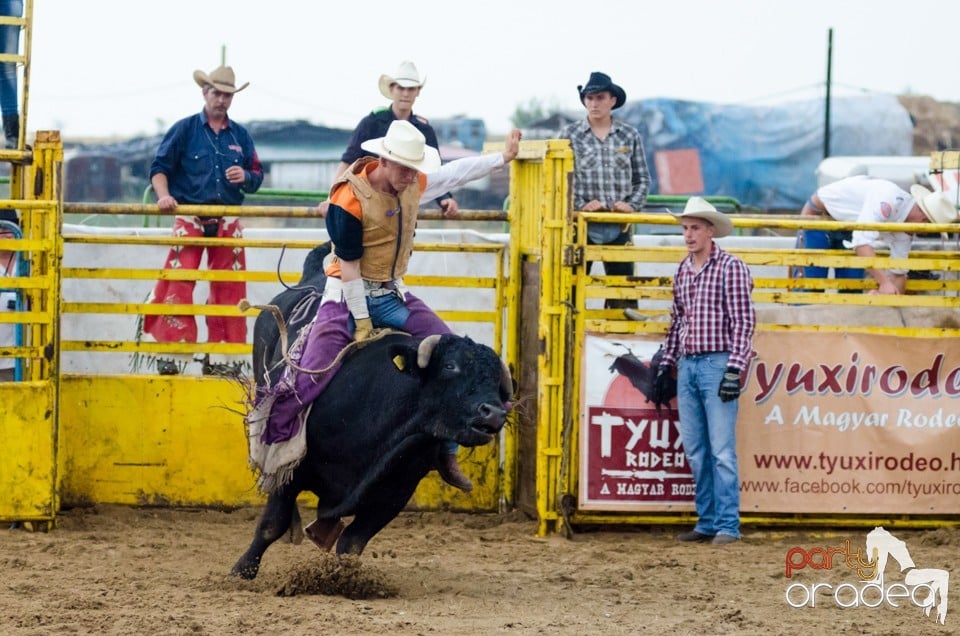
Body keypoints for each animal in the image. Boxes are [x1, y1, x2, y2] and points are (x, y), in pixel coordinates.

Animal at [233, 245, 512, 580]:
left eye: (496, 380)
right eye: (450, 366)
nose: (494, 413)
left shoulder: (393, 492)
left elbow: (352, 543)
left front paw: (343, 579)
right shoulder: (294, 469)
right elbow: (271, 524)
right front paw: (242, 570)